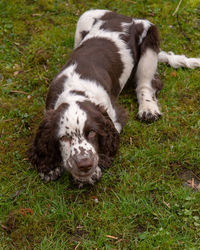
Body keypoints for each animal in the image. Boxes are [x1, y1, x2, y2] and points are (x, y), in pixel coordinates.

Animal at [28, 8, 200, 187]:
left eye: (92, 133)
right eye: (63, 138)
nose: (85, 164)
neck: (74, 90)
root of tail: (125, 17)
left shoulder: (114, 116)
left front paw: (89, 175)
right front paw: (51, 168)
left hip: (150, 39)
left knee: (146, 84)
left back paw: (148, 109)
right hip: (84, 19)